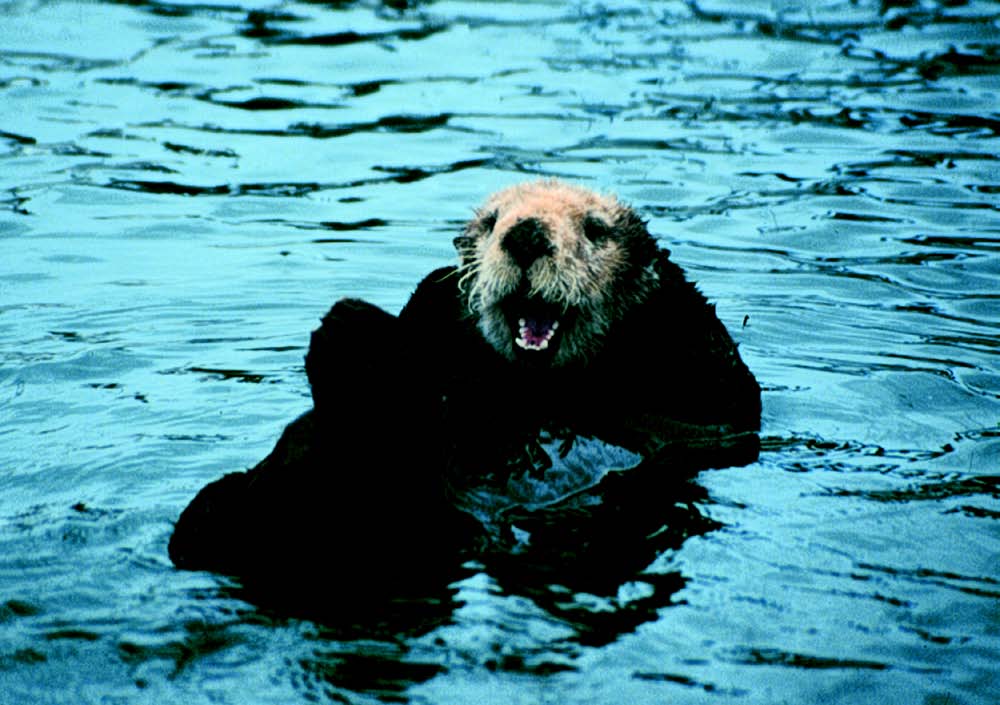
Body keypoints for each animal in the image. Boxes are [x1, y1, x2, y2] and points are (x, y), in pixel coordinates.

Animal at [168, 180, 756, 584]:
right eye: (493, 222)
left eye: (595, 229)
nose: (525, 234)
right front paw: (445, 283)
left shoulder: (707, 397)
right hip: (230, 511)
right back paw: (351, 340)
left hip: (427, 524)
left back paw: (357, 347)